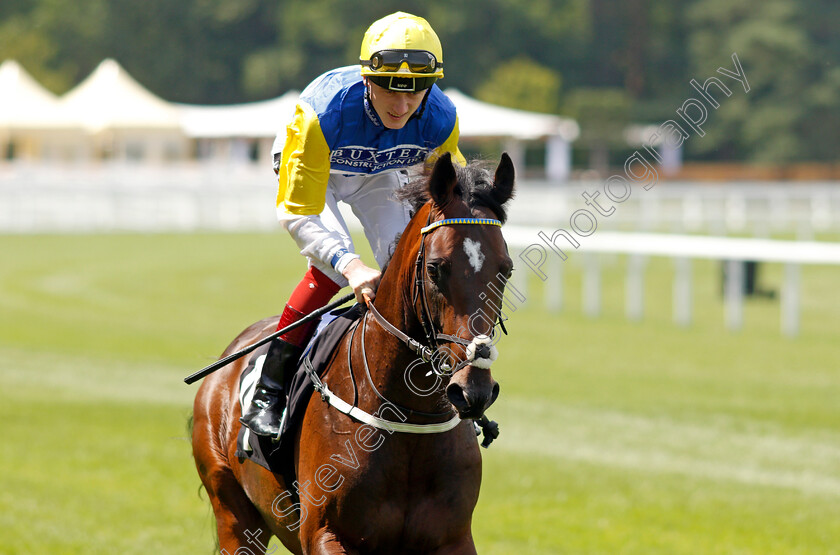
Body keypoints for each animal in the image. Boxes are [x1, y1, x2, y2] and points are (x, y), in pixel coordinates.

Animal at [191, 153, 516, 555]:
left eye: (506, 269)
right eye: (435, 268)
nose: (473, 391)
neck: (408, 418)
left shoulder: (453, 539)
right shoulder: (326, 534)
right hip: (234, 514)